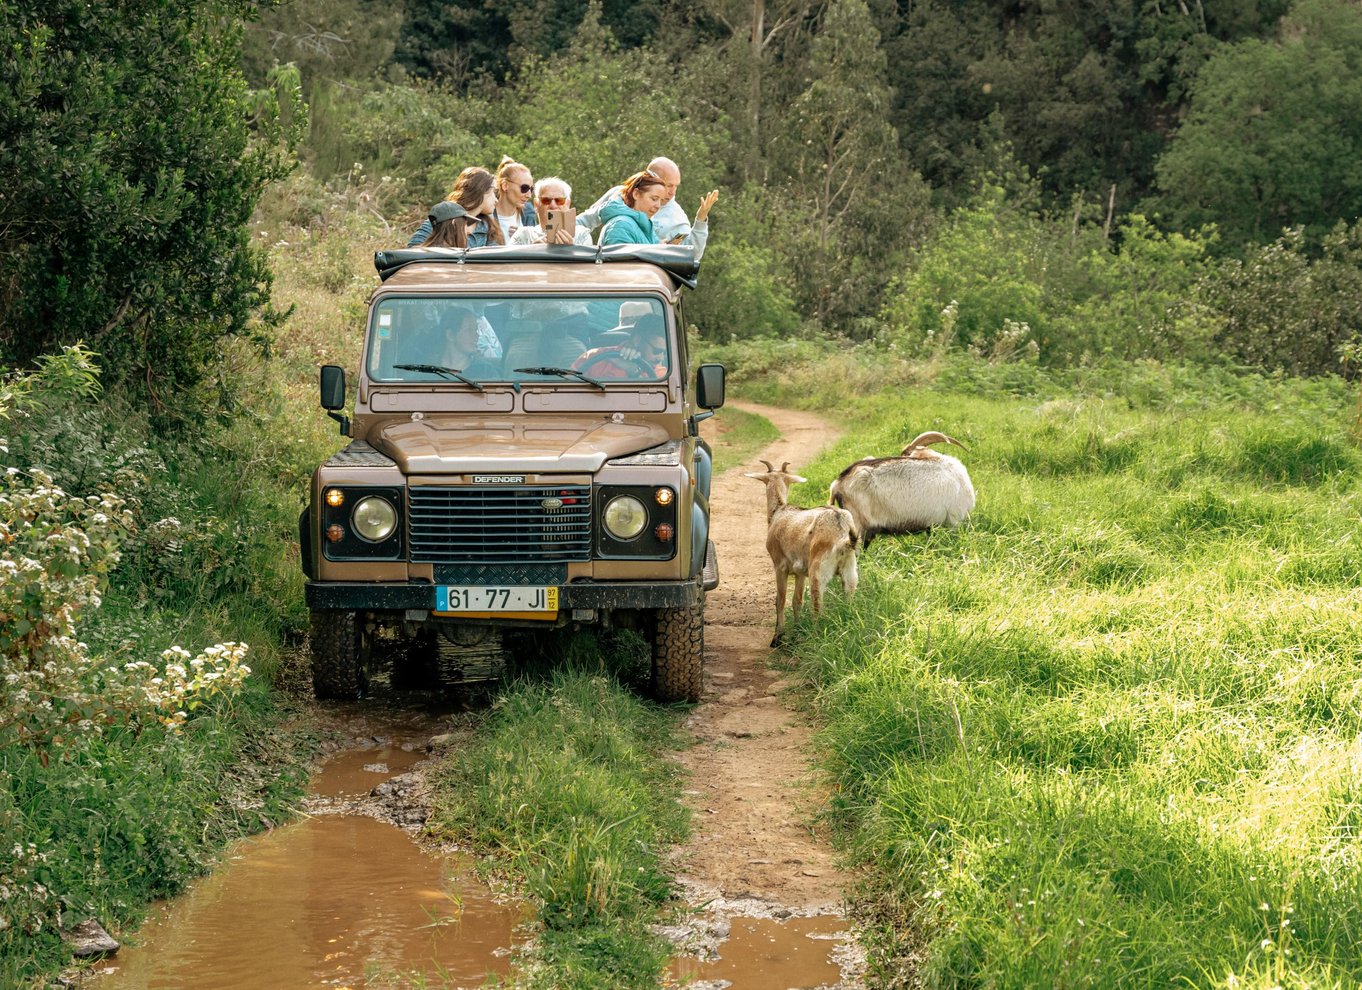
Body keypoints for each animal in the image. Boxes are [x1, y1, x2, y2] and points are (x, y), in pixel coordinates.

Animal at [746, 460, 860, 645]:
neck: (779, 511)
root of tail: (843, 530)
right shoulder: (800, 572)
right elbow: (797, 600)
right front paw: (797, 631)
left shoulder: (780, 566)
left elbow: (780, 600)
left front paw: (778, 637)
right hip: (850, 570)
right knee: (848, 598)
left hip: (819, 570)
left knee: (817, 606)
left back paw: (814, 637)